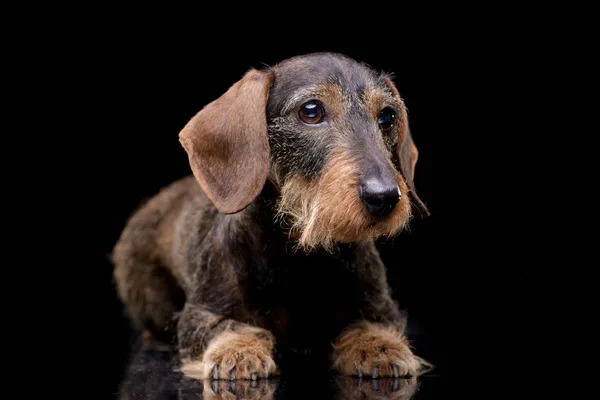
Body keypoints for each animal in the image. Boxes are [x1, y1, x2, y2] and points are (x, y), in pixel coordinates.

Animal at [111, 52, 432, 382]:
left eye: (387, 117)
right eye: (311, 111)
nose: (384, 197)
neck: (299, 258)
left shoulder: (384, 308)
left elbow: (372, 324)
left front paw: (379, 346)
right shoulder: (200, 315)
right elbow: (228, 326)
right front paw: (238, 350)